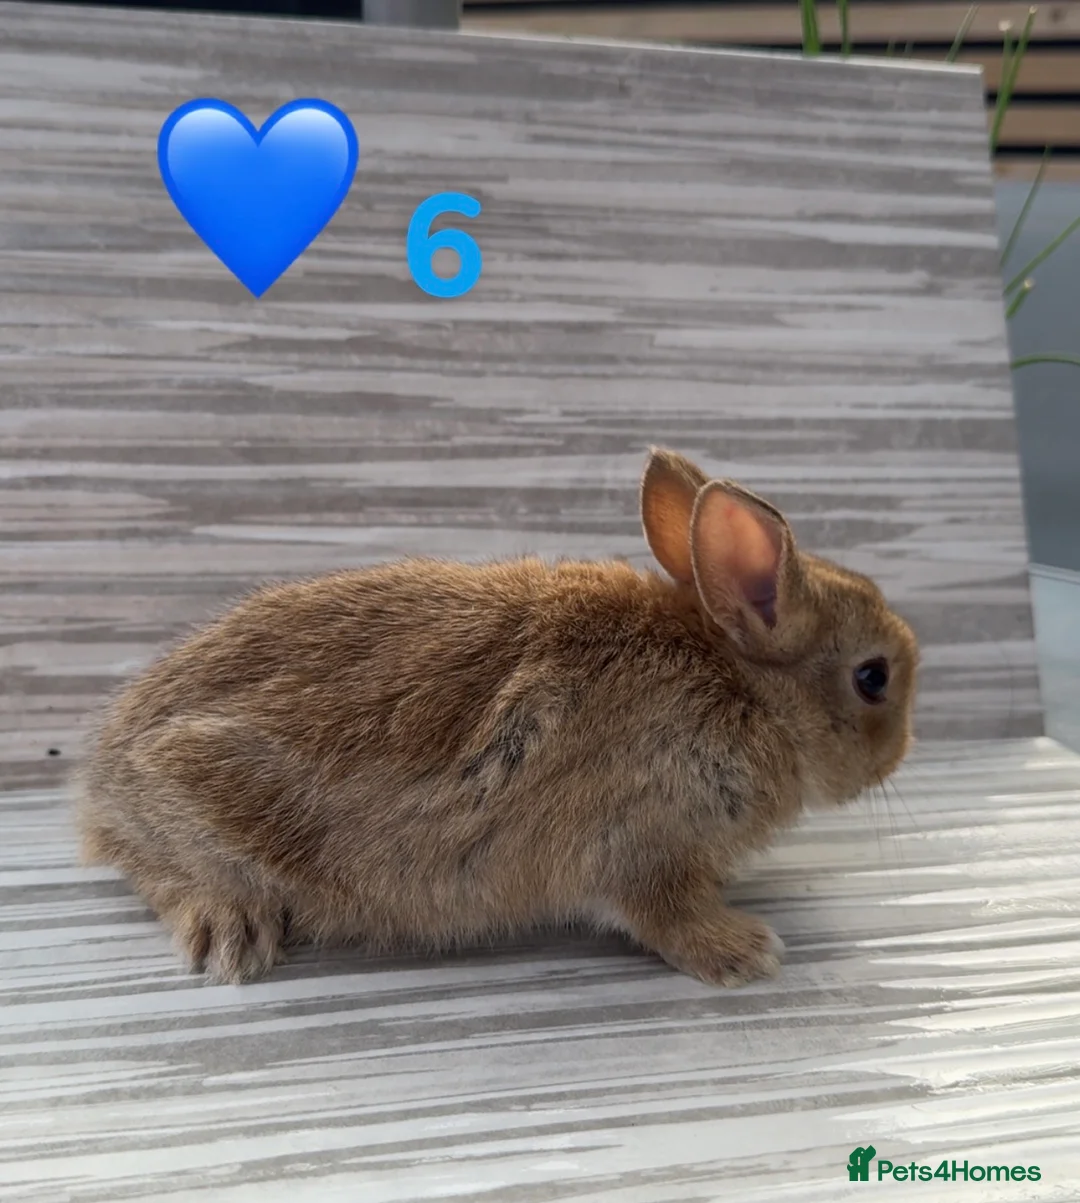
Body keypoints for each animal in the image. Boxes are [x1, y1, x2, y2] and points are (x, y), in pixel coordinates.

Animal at [74, 447, 919, 988]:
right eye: (873, 677)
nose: (898, 756)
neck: (743, 686)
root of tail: (102, 782)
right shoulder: (644, 841)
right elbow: (663, 914)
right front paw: (747, 952)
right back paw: (232, 931)